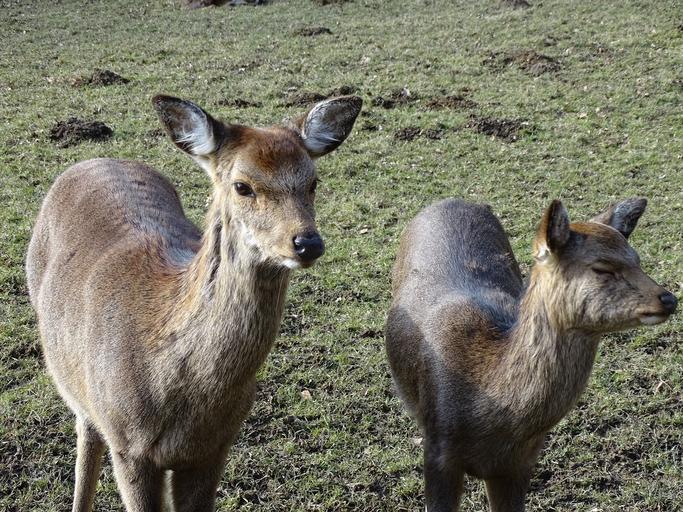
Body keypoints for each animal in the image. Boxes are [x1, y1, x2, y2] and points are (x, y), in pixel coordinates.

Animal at [26, 93, 361, 512]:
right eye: (242, 186)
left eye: (313, 182)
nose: (306, 242)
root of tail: (94, 160)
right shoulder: (129, 446)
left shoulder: (214, 449)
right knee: (86, 429)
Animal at [385, 197, 677, 512]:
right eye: (601, 267)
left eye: (637, 259)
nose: (669, 299)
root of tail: (450, 200)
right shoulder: (438, 452)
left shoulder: (520, 464)